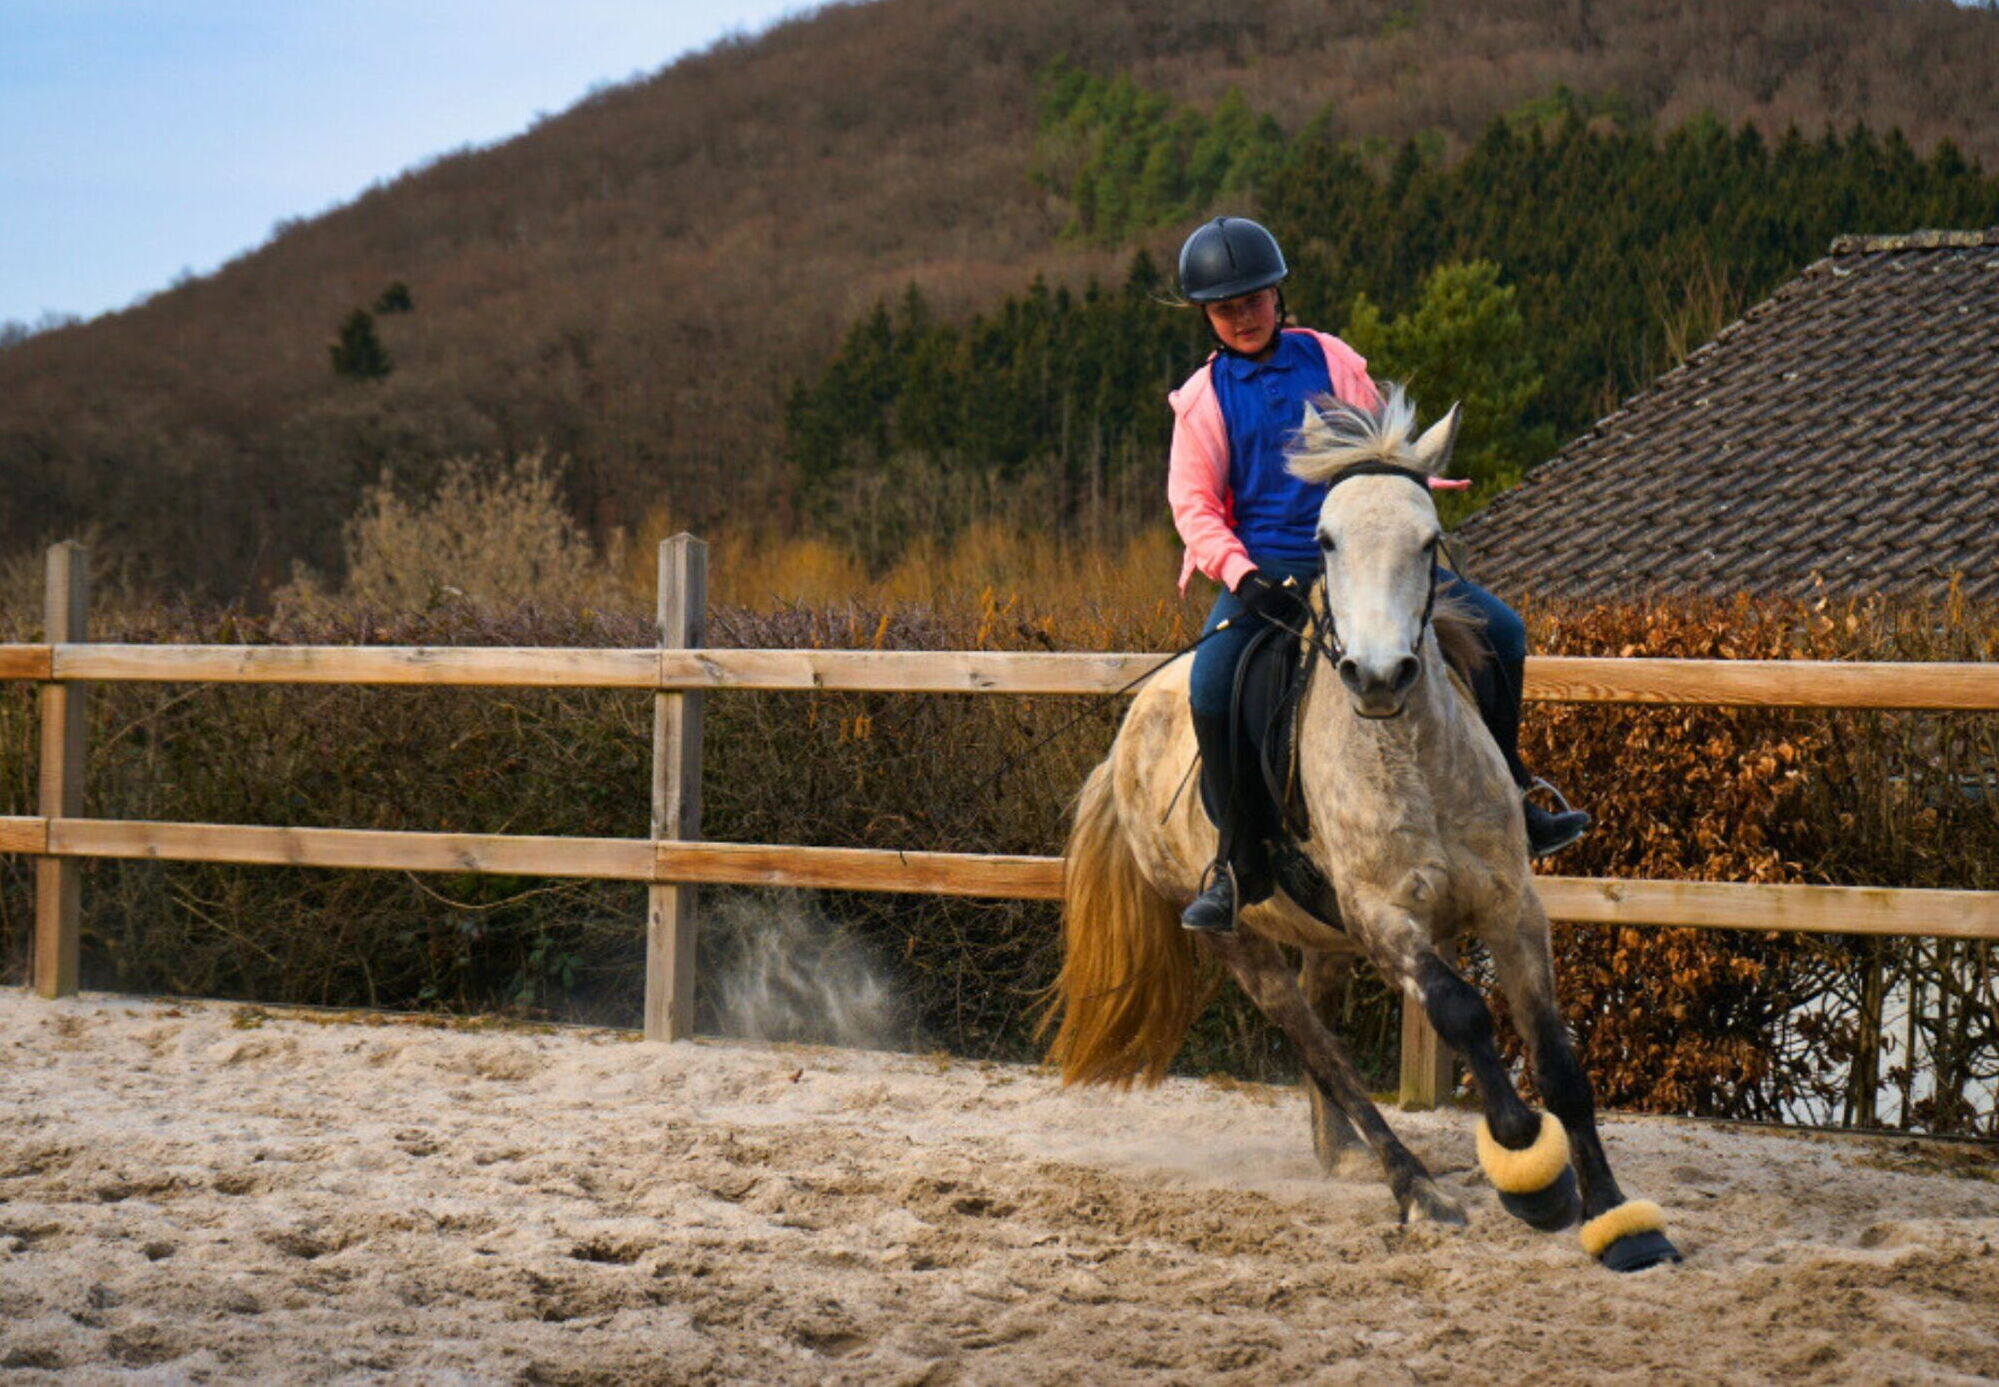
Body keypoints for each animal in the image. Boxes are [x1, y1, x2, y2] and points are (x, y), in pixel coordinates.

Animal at [1044, 388, 1680, 1273]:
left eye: (1429, 538)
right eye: (1324, 538)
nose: (1377, 676)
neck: (1407, 753)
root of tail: (1124, 741)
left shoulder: (1510, 904)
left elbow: (1556, 1054)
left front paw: (1621, 1222)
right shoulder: (1387, 918)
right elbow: (1461, 1013)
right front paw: (1531, 1172)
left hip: (1324, 935)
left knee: (1324, 1035)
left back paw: (1343, 1155)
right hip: (1241, 941)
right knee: (1319, 1047)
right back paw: (1414, 1186)